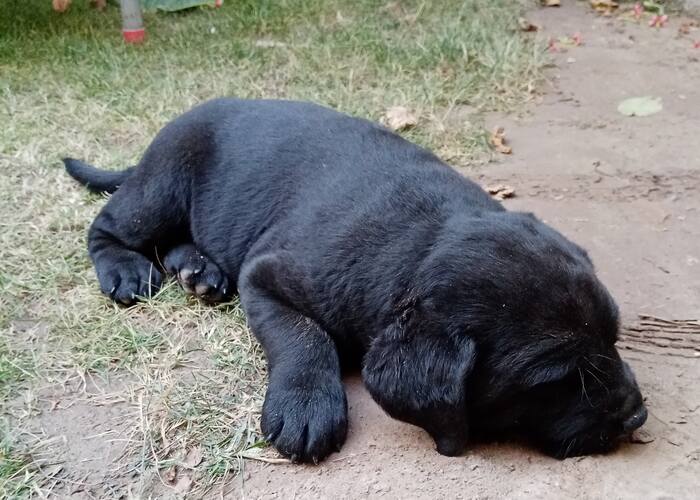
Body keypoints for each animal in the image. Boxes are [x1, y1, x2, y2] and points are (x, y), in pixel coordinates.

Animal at [63, 98, 648, 464]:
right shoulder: (266, 276)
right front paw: (305, 404)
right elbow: (304, 336)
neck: (423, 242)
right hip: (164, 184)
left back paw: (199, 270)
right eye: (554, 381)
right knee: (110, 226)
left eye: (614, 339)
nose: (637, 416)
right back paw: (126, 269)